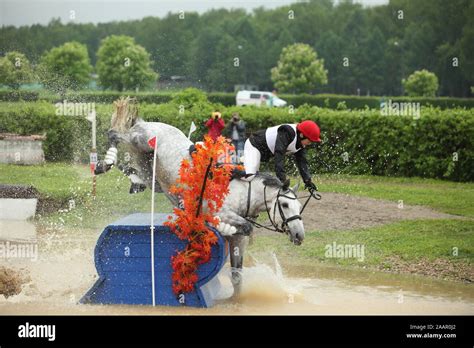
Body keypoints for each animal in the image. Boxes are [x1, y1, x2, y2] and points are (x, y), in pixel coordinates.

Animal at [96, 97, 308, 294]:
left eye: (299, 207)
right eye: (285, 205)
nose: (300, 235)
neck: (243, 193)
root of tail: (145, 122)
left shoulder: (239, 241)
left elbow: (237, 276)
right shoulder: (220, 212)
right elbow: (238, 225)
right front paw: (222, 228)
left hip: (151, 171)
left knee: (137, 172)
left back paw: (134, 180)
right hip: (139, 140)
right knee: (115, 134)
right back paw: (104, 164)